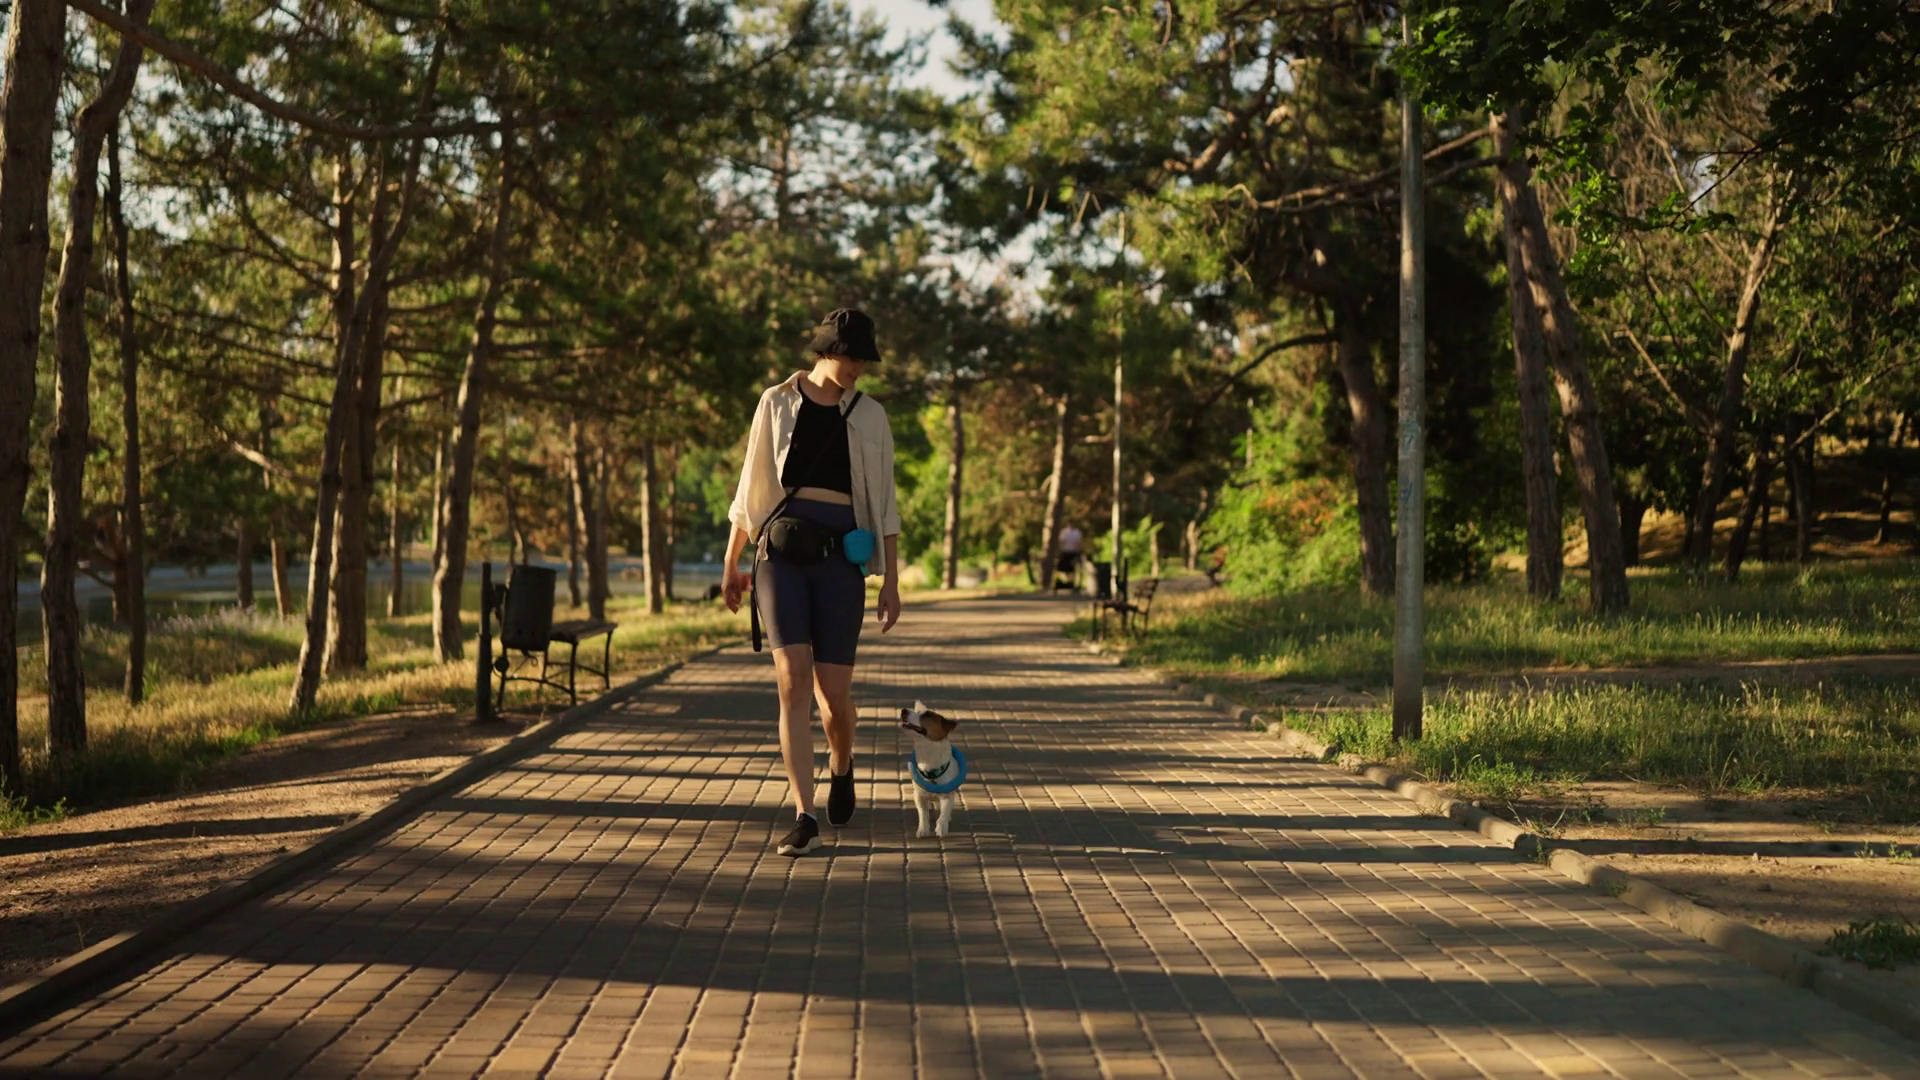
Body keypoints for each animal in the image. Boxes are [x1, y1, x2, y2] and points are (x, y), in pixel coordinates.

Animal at [899, 700, 966, 838]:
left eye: (927, 715)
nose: (903, 710)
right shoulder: (919, 796)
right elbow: (923, 813)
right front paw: (923, 829)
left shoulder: (947, 796)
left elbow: (943, 814)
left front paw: (941, 828)